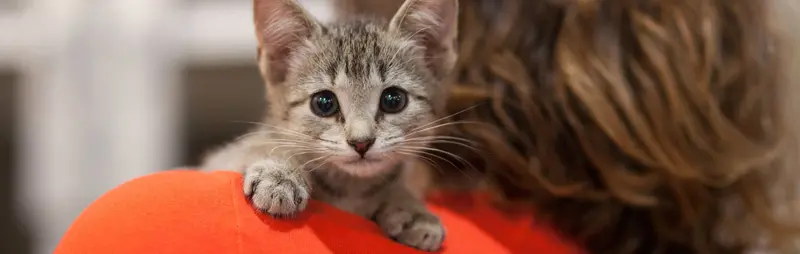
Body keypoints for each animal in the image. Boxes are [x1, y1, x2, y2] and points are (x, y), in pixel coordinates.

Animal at [200, 0, 460, 251]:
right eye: (324, 103)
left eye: (393, 100)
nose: (361, 142)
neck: (350, 188)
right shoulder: (221, 159)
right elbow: (255, 147)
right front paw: (281, 173)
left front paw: (411, 208)